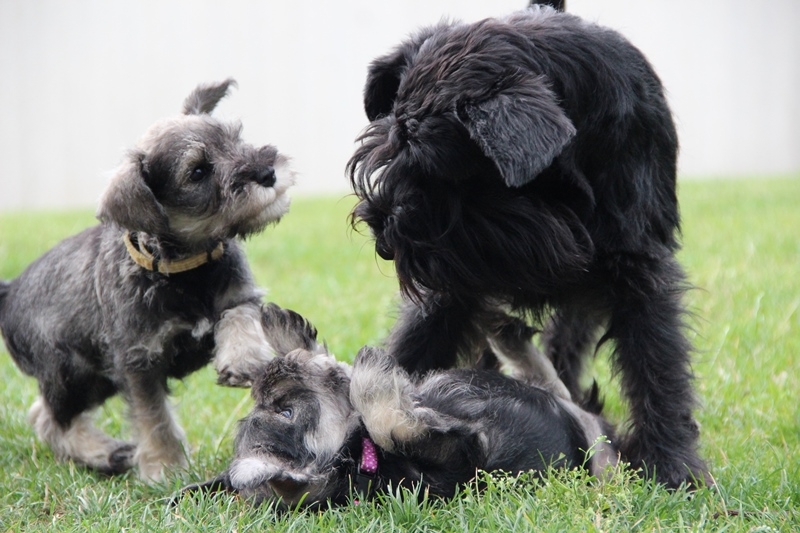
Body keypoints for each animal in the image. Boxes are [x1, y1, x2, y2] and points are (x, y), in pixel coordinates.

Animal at [0, 80, 294, 482]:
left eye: (235, 138)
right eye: (197, 172)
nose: (267, 172)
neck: (185, 269)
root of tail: (9, 290)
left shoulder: (239, 295)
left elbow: (238, 317)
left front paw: (243, 359)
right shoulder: (138, 361)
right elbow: (153, 417)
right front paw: (166, 468)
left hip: (94, 380)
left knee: (42, 414)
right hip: (72, 373)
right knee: (51, 419)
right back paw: (104, 453)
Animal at [180, 310, 620, 510]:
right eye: (285, 413)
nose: (269, 372)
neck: (361, 458)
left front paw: (288, 334)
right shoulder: (461, 459)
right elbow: (391, 423)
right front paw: (370, 374)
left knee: (552, 383)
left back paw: (506, 332)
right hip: (595, 453)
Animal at [346, 5, 708, 486]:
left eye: (439, 168)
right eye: (391, 154)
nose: (386, 237)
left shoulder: (638, 267)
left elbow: (657, 365)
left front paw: (672, 466)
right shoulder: (453, 279)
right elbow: (416, 338)